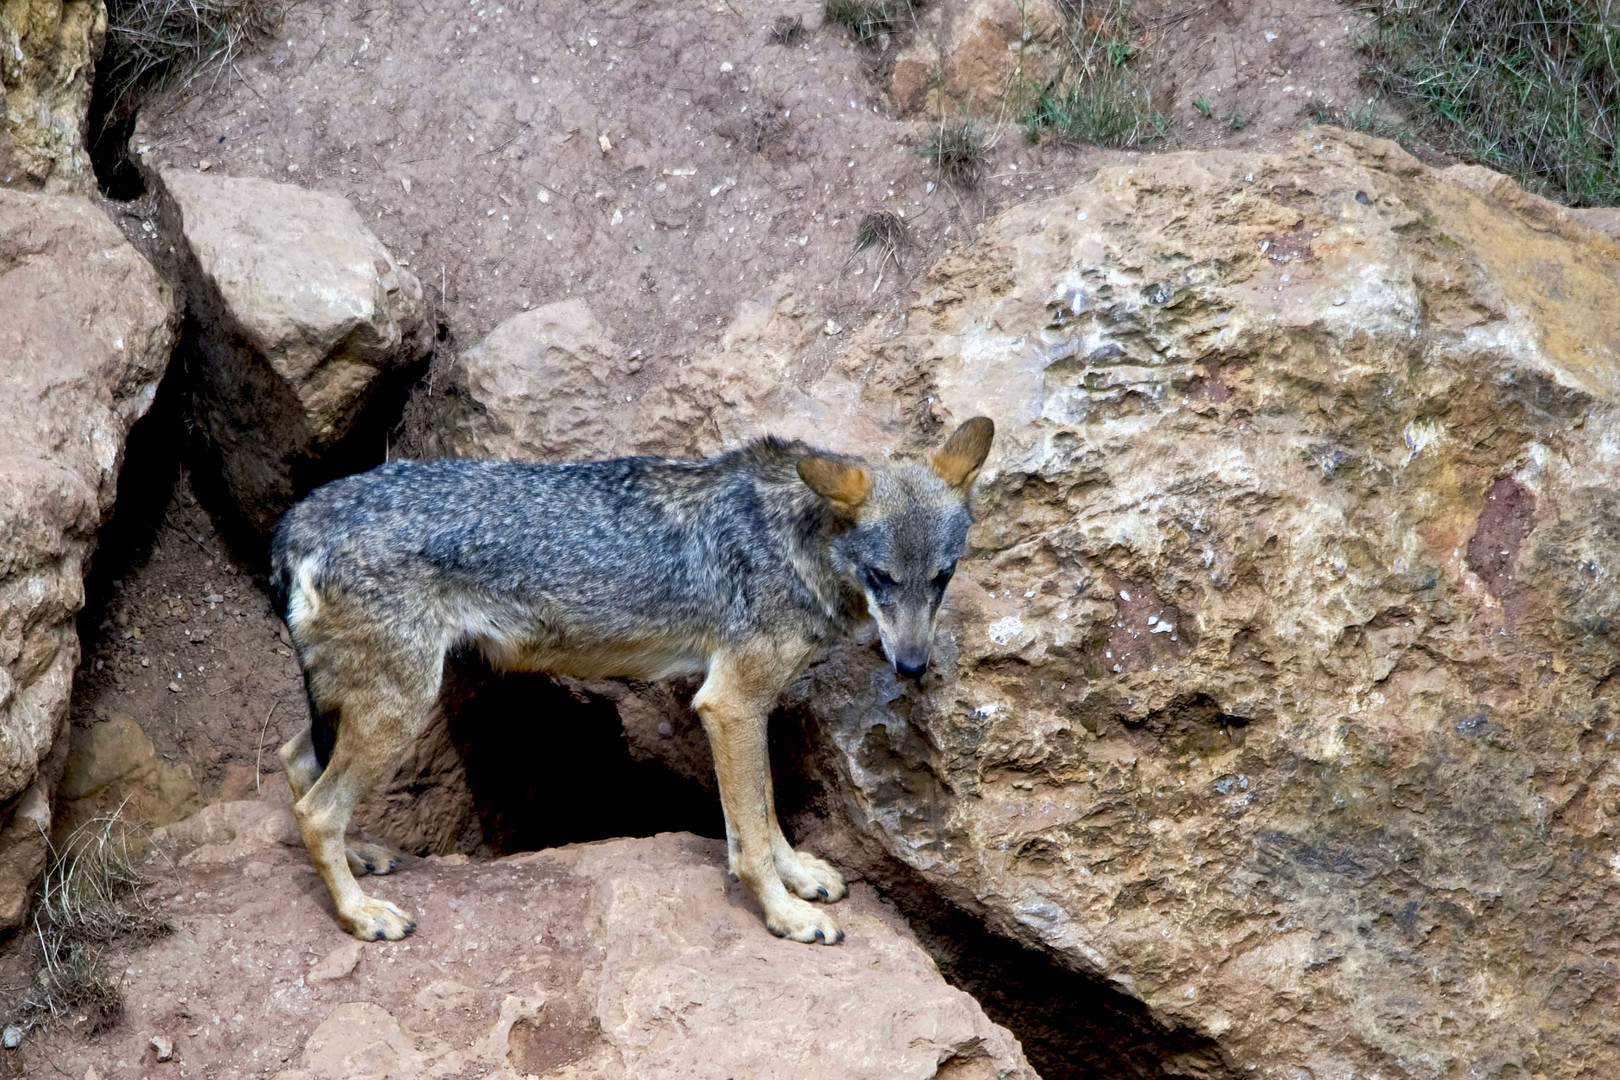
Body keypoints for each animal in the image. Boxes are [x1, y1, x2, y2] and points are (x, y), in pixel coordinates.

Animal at [272, 417, 991, 939]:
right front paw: (786, 917)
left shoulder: (746, 707)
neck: (793, 537)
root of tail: (299, 517)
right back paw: (360, 915)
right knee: (315, 811)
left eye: (942, 576)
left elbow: (764, 814)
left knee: (294, 759)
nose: (912, 666)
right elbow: (750, 839)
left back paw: (361, 858)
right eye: (881, 578)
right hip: (399, 709)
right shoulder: (730, 703)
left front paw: (800, 878)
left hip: (357, 705)